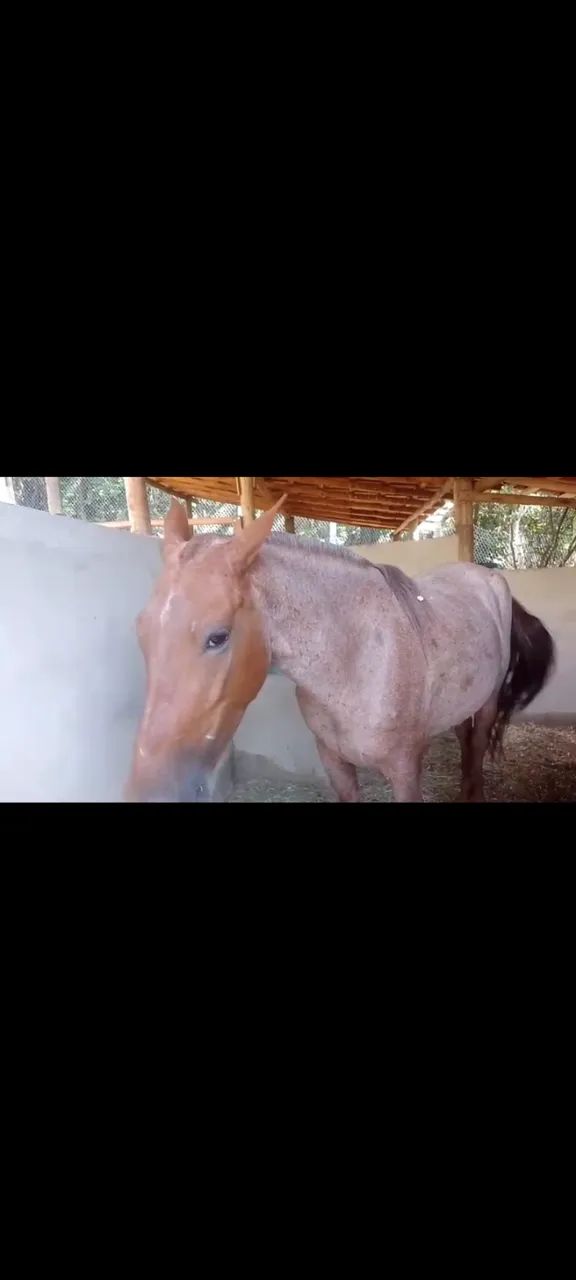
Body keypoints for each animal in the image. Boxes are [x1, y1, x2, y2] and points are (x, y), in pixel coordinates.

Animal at [126, 497, 555, 802]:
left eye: (218, 637)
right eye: (142, 631)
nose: (149, 792)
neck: (356, 661)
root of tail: (487, 576)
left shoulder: (405, 769)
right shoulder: (335, 763)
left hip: (488, 703)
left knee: (477, 748)